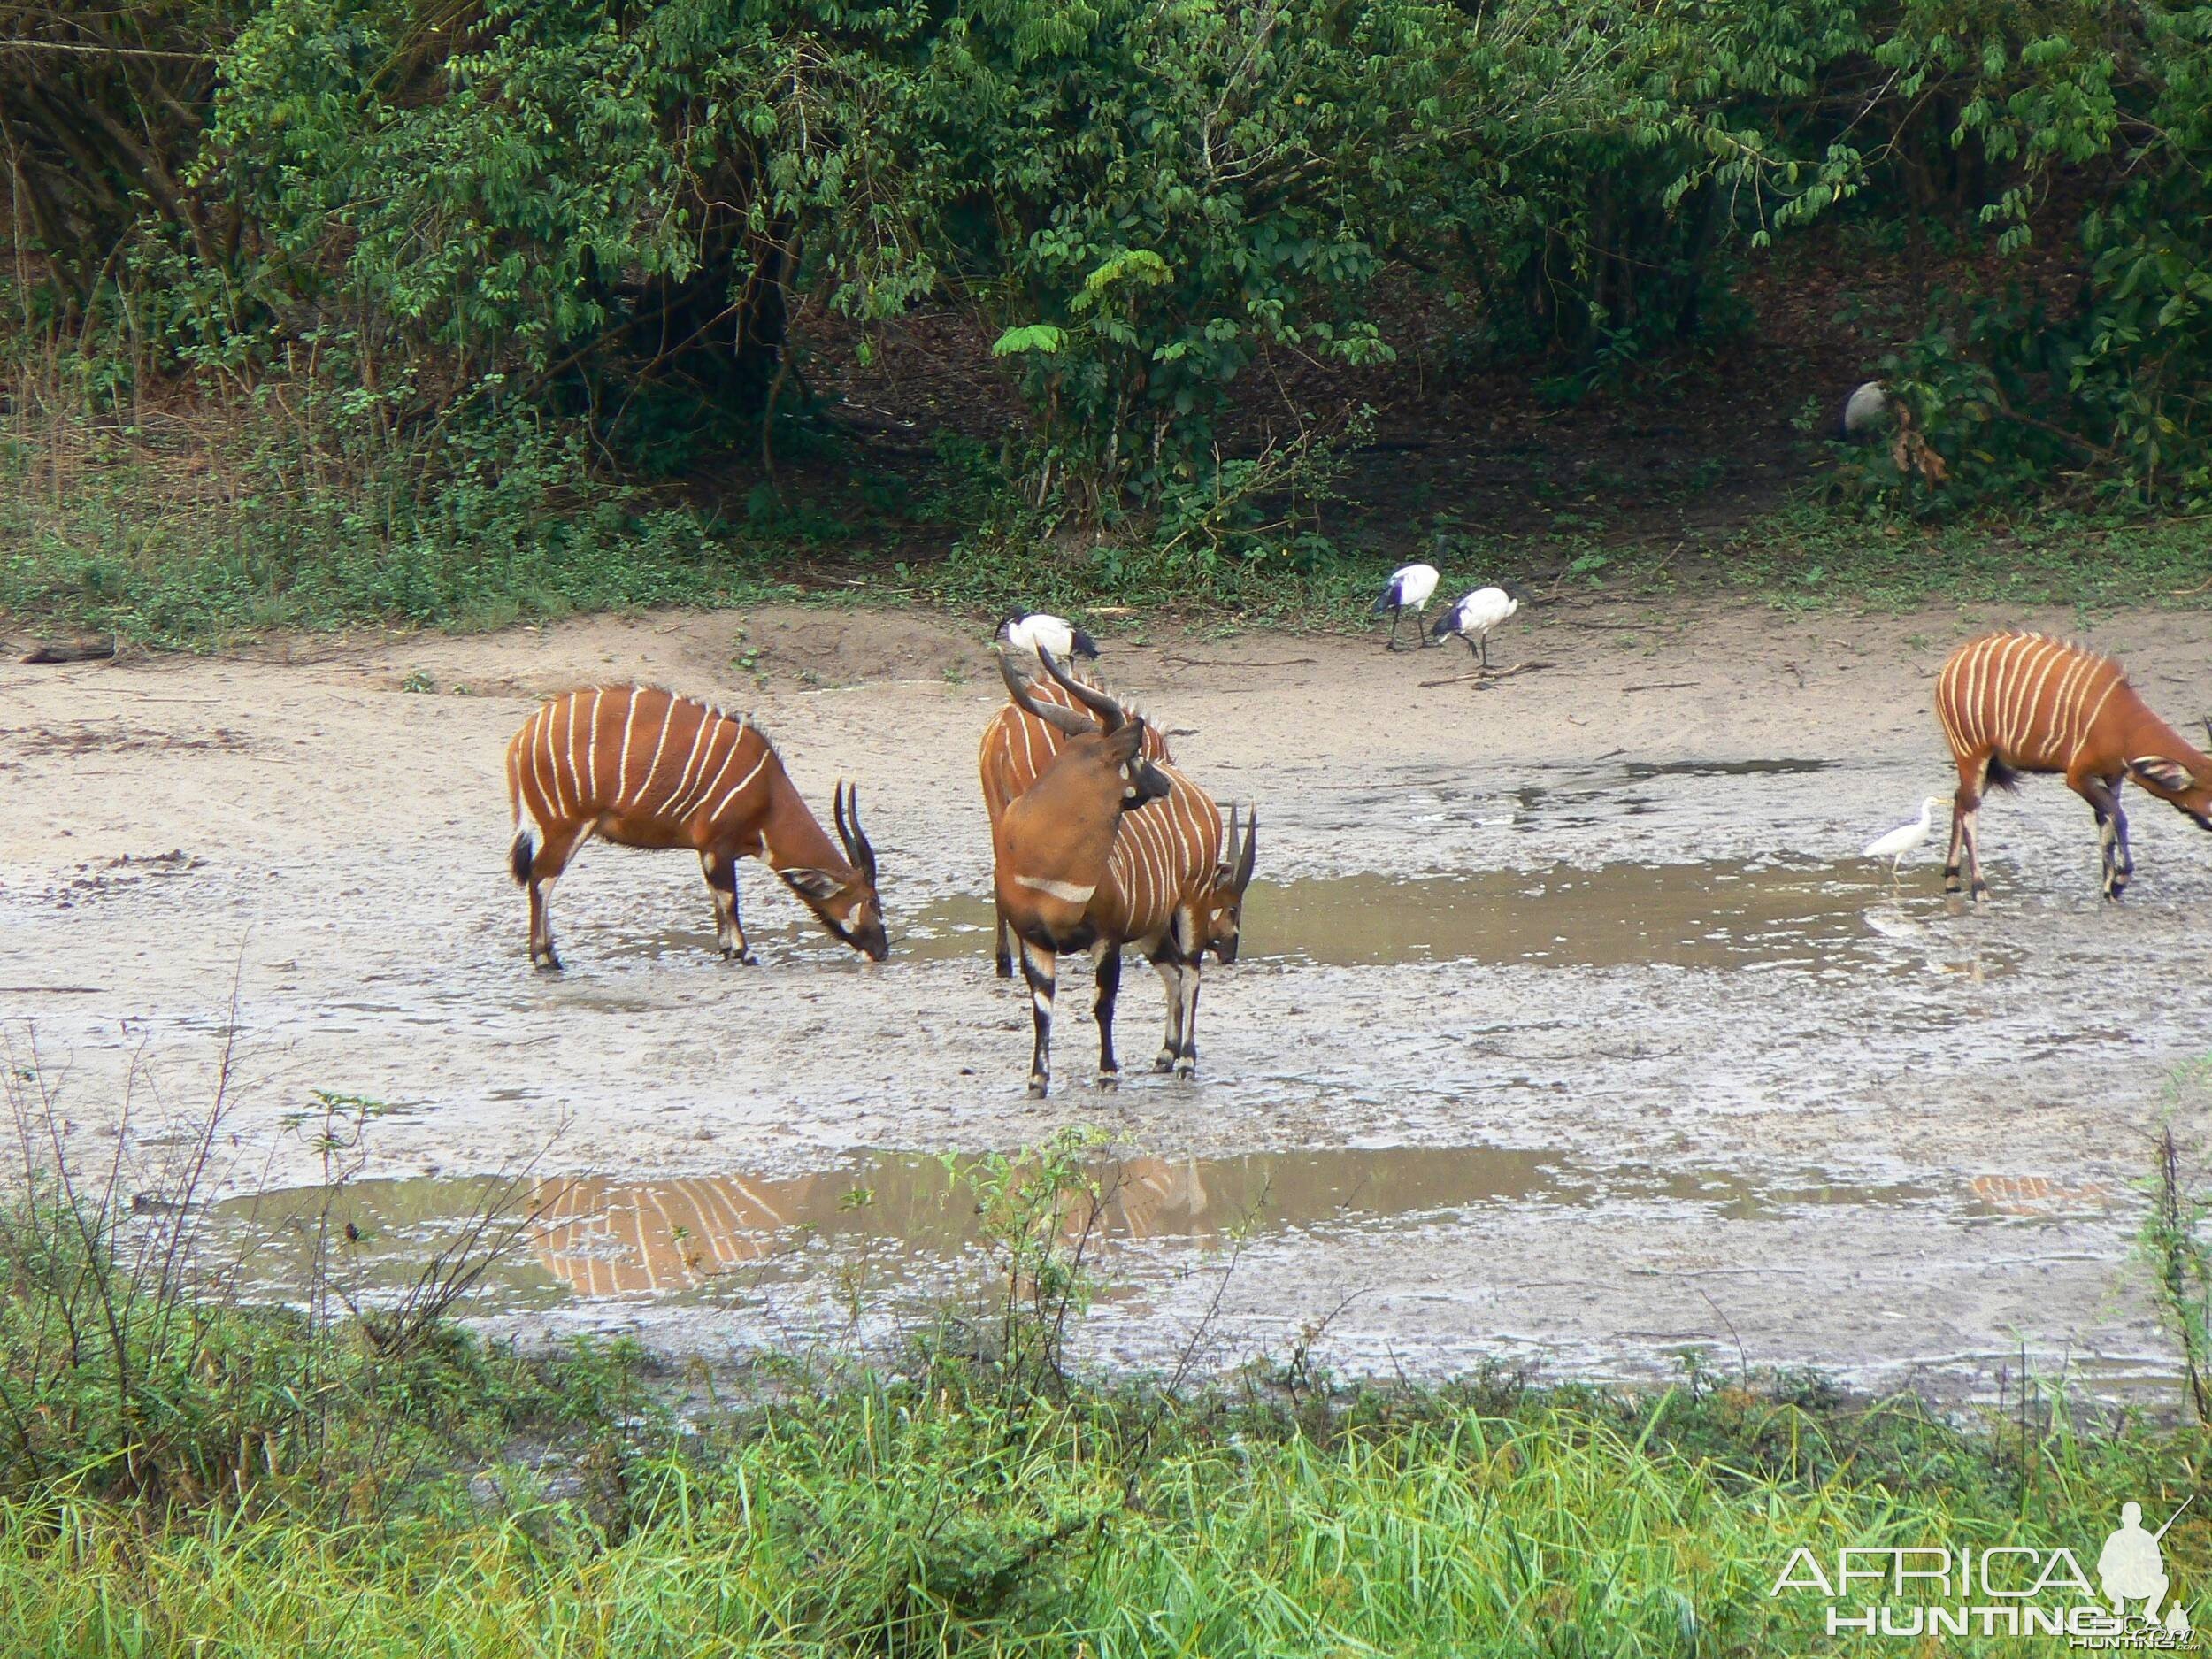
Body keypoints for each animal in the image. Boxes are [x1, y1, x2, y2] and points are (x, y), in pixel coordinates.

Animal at [506, 690, 885, 973]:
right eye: (872, 900)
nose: (883, 950)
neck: (768, 792)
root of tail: (521, 738)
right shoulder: (719, 845)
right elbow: (729, 897)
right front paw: (744, 952)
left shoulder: (709, 850)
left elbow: (718, 898)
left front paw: (728, 950)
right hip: (566, 825)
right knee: (541, 878)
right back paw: (546, 958)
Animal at [991, 655, 1256, 1106]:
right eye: (1135, 757)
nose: (1163, 784)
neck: (1049, 860)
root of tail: (1200, 795)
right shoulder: (1034, 938)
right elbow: (1041, 1007)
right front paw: (1038, 1080)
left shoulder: (1106, 937)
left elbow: (1104, 1003)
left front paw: (1107, 1074)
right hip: (1153, 925)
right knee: (1172, 972)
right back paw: (1166, 1055)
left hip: (1190, 905)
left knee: (1190, 974)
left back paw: (1186, 1061)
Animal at [1938, 628, 2212, 902]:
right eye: (2211, 797)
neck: (2121, 722)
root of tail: (1950, 665)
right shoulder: (2077, 776)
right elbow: (2118, 816)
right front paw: (2120, 881)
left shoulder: (2113, 777)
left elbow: (2106, 824)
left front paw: (2108, 889)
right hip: (1973, 753)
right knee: (1970, 809)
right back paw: (1979, 887)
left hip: (1989, 764)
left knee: (1959, 799)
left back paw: (1951, 878)